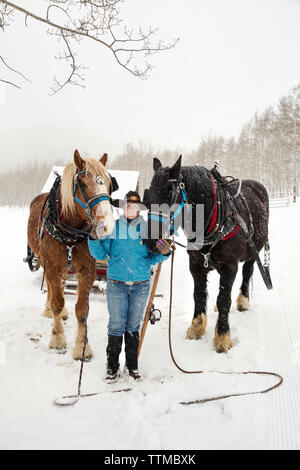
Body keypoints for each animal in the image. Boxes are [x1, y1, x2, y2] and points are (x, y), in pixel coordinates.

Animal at [27, 150, 116, 360]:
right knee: (53, 290)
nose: (106, 225)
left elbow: (82, 309)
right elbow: (57, 301)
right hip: (47, 263)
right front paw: (58, 339)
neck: (69, 231)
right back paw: (49, 310)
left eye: (109, 183)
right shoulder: (51, 266)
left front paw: (82, 346)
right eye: (83, 183)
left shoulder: (86, 271)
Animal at [143, 157, 270, 352]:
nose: (150, 240)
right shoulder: (196, 265)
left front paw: (222, 336)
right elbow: (199, 295)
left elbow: (224, 299)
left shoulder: (229, 266)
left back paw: (243, 301)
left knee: (247, 273)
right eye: (149, 193)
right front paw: (196, 327)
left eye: (169, 192)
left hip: (253, 251)